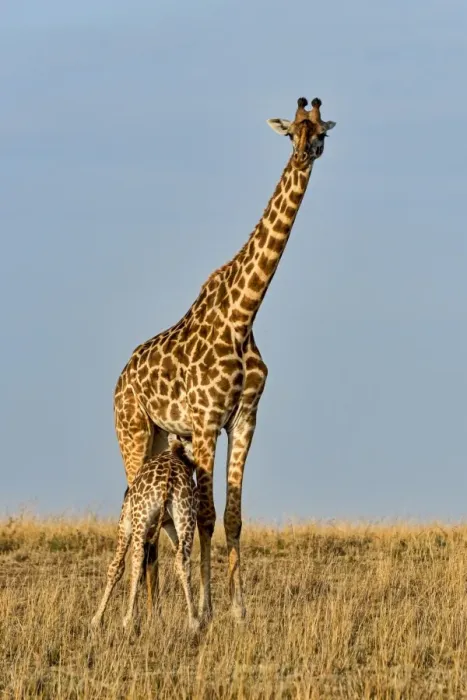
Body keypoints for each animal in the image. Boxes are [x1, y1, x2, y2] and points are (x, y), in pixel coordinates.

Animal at [91, 434, 199, 631]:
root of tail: (168, 479)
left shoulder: (124, 522)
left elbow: (116, 567)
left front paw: (96, 619)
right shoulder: (170, 525)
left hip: (140, 518)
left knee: (137, 557)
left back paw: (128, 619)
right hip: (186, 517)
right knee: (182, 560)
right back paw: (194, 621)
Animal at [114, 96, 336, 623]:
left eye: (321, 131)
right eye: (291, 131)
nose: (305, 153)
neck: (243, 313)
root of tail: (120, 378)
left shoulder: (244, 419)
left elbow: (233, 517)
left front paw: (238, 610)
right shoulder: (206, 422)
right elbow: (206, 515)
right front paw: (207, 609)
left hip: (161, 437)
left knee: (149, 516)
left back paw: (154, 610)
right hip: (132, 432)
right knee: (133, 509)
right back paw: (143, 611)